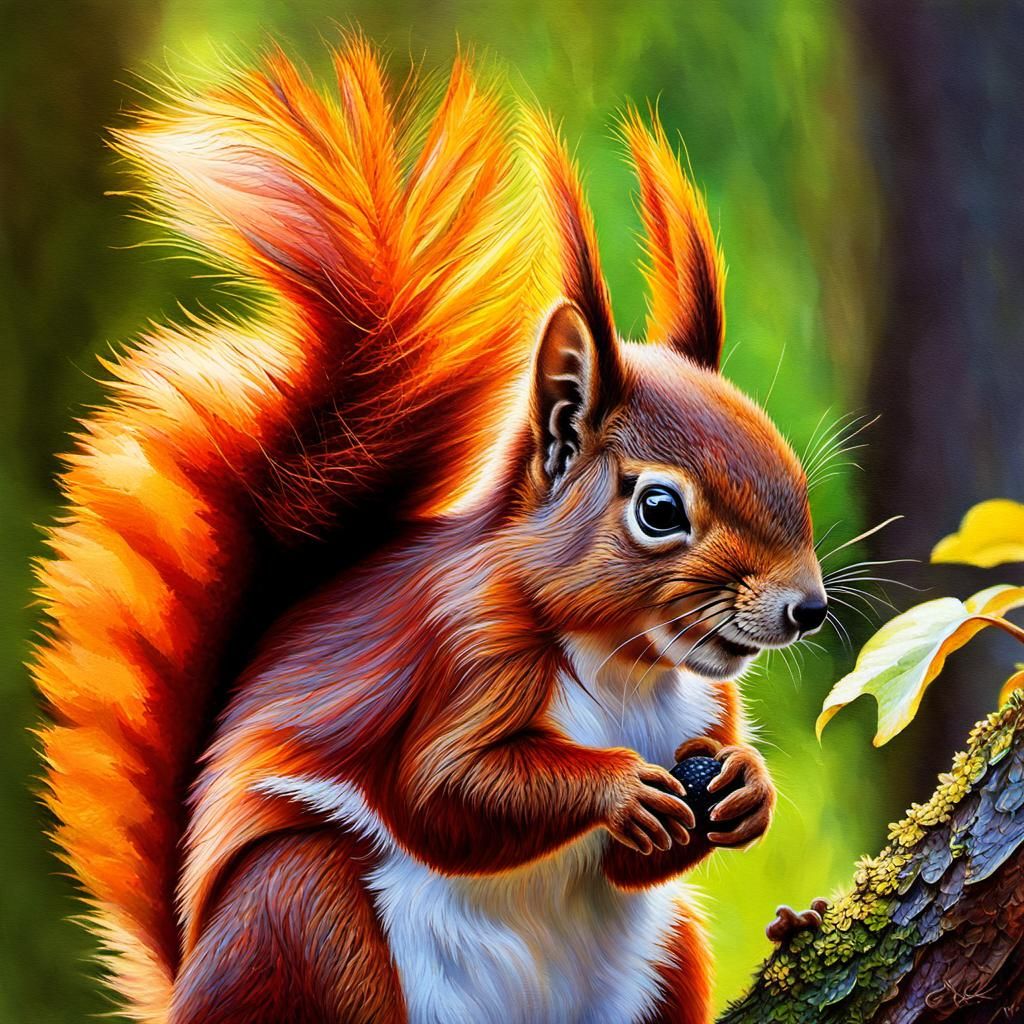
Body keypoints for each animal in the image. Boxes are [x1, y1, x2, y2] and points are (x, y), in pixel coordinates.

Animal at [31, 36, 828, 1024]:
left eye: (792, 471)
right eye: (658, 510)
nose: (808, 607)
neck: (625, 662)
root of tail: (189, 975)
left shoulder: (705, 711)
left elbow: (639, 858)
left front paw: (750, 787)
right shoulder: (461, 649)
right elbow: (445, 791)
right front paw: (615, 785)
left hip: (667, 955)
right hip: (304, 915)